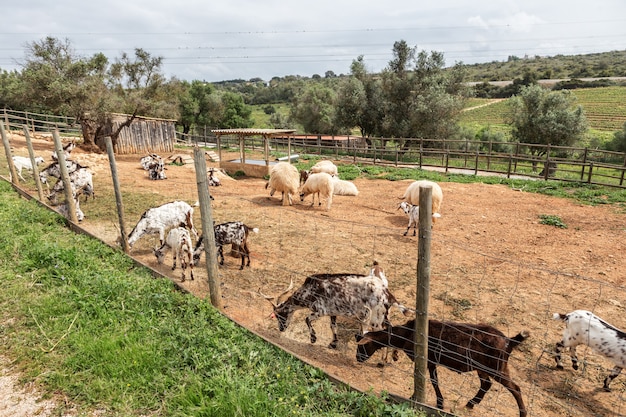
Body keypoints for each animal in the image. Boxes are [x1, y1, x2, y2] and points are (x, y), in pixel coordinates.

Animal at [262, 262, 412, 350]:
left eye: (279, 315)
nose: (281, 329)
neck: (309, 291)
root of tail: (387, 293)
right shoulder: (333, 312)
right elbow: (333, 326)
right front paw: (333, 343)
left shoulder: (320, 310)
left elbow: (307, 319)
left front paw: (313, 339)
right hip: (382, 315)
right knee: (389, 328)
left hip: (375, 318)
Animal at [356, 318, 528, 416]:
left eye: (361, 346)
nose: (358, 358)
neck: (407, 334)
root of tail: (510, 341)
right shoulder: (431, 361)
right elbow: (433, 380)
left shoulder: (427, 360)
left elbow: (431, 380)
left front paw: (434, 402)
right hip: (483, 368)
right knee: (486, 384)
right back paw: (471, 403)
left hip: (497, 367)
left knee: (515, 388)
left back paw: (523, 413)